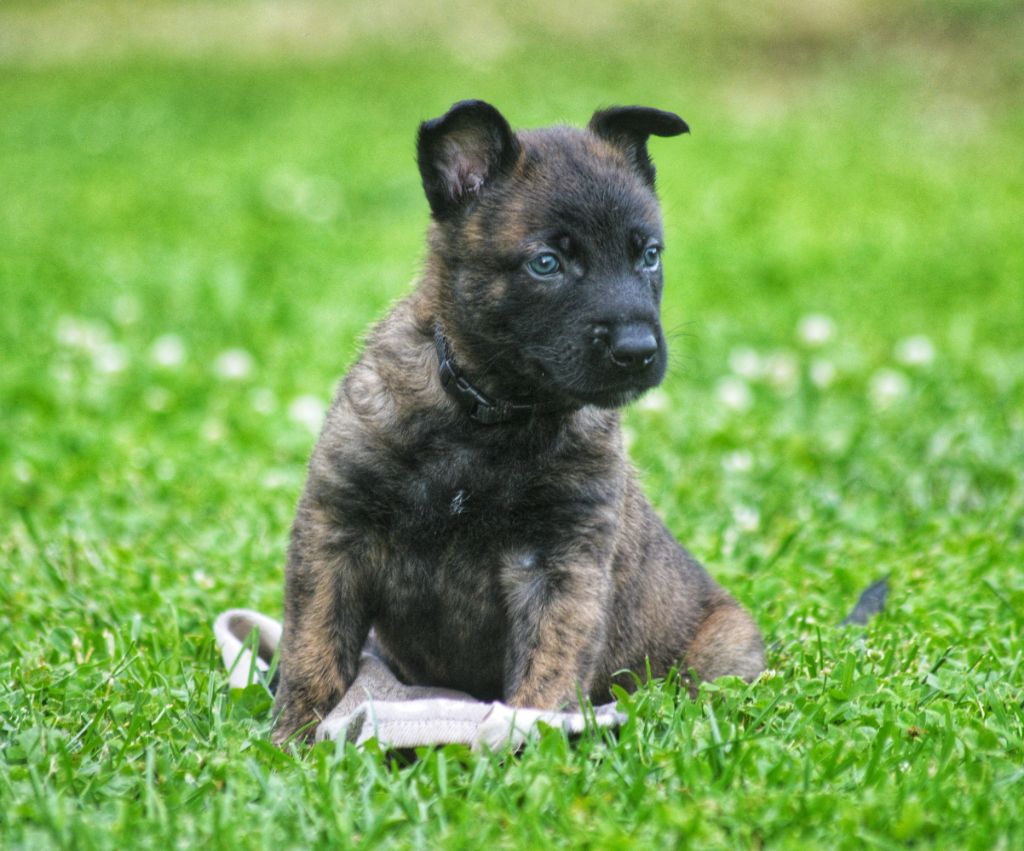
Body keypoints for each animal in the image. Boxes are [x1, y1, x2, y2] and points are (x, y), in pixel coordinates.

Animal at [270, 99, 761, 745]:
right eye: (546, 264)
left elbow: (547, 670)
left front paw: (527, 742)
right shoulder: (335, 533)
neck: (487, 417)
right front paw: (292, 741)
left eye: (649, 255)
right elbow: (314, 651)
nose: (638, 350)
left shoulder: (562, 566)